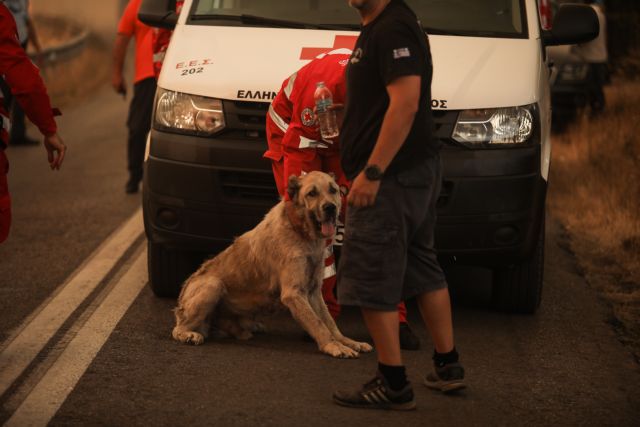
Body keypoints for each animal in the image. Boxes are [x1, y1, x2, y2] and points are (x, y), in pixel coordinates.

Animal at [171, 172, 376, 360]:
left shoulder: (314, 292)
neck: (299, 230)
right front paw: (333, 346)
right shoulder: (294, 293)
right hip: (213, 285)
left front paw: (347, 342)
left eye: (333, 190)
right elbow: (317, 323)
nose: (330, 208)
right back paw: (189, 334)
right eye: (312, 193)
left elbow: (328, 321)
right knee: (178, 329)